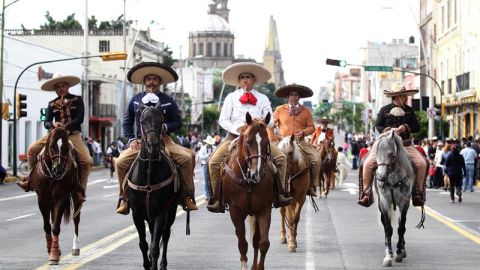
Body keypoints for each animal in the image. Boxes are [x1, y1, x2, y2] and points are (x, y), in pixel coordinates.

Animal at [29, 127, 84, 264]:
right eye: (52, 145)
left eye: (65, 147)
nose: (58, 169)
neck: (52, 178)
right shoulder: (42, 200)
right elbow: (48, 226)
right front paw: (52, 250)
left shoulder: (61, 198)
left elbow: (56, 227)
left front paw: (54, 255)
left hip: (75, 197)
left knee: (76, 219)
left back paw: (75, 248)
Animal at [126, 102, 179, 270]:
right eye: (142, 121)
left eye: (161, 120)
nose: (153, 145)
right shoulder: (136, 213)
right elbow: (143, 244)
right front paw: (147, 263)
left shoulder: (160, 213)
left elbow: (155, 246)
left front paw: (154, 263)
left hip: (171, 209)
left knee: (166, 234)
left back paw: (163, 264)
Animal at [220, 112, 274, 270]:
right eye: (249, 142)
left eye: (266, 143)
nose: (257, 174)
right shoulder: (235, 211)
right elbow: (242, 242)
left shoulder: (264, 209)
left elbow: (263, 242)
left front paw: (259, 267)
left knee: (256, 240)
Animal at [374, 130, 422, 266]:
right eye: (376, 153)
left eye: (391, 154)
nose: (380, 177)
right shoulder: (384, 201)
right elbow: (388, 228)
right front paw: (388, 255)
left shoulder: (404, 202)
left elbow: (401, 228)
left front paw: (399, 253)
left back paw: (402, 249)